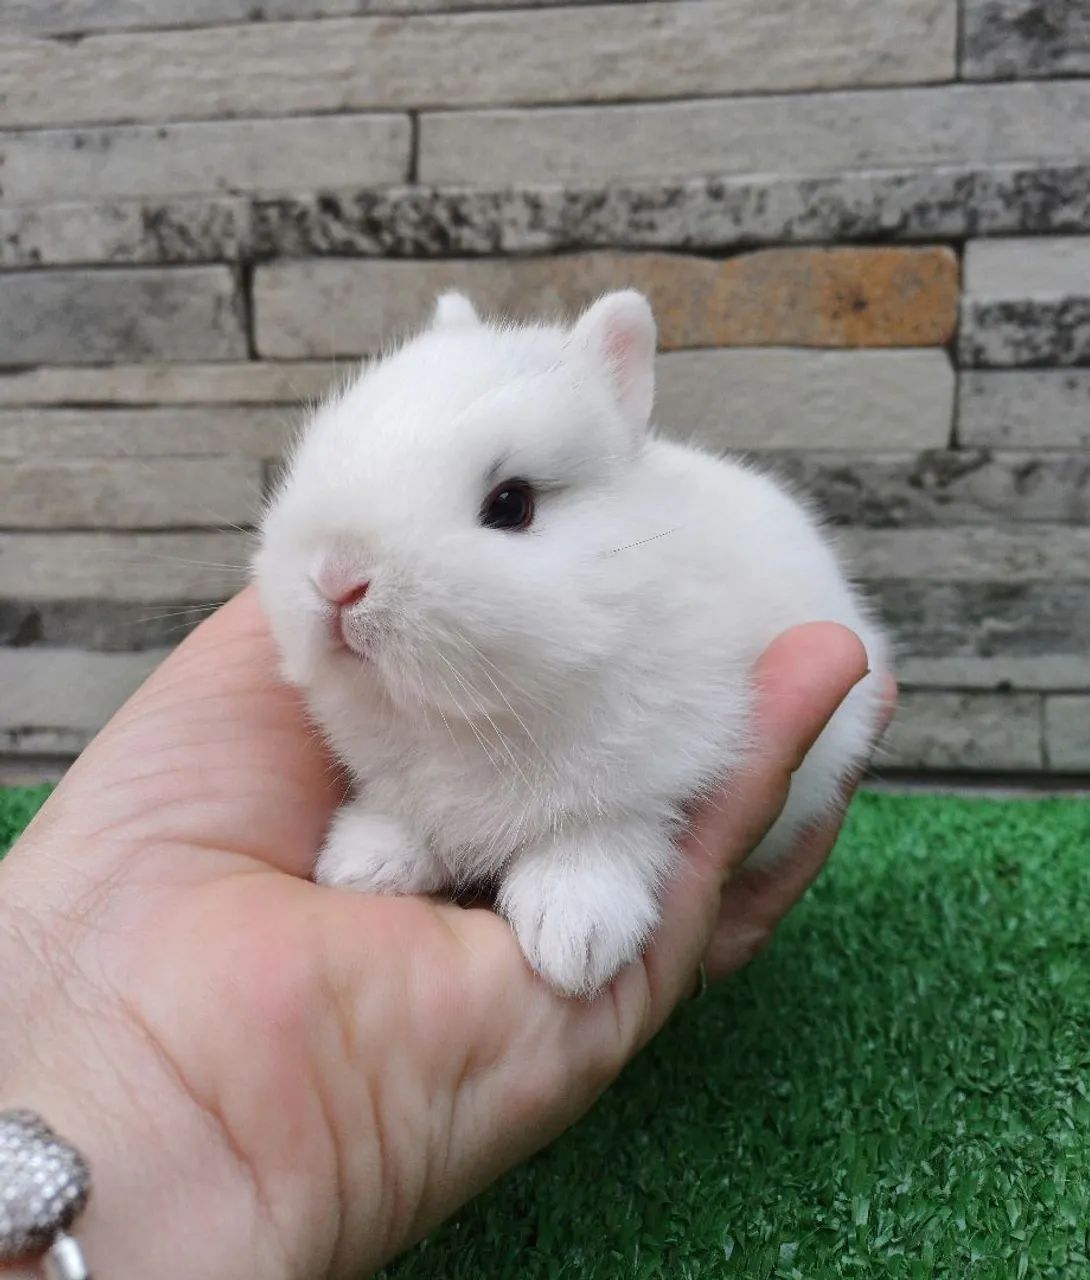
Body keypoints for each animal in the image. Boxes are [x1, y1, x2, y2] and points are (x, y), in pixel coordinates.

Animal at [254, 288, 890, 998]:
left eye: (511, 505)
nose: (338, 580)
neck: (469, 720)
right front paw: (363, 863)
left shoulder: (644, 779)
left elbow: (600, 838)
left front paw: (573, 941)